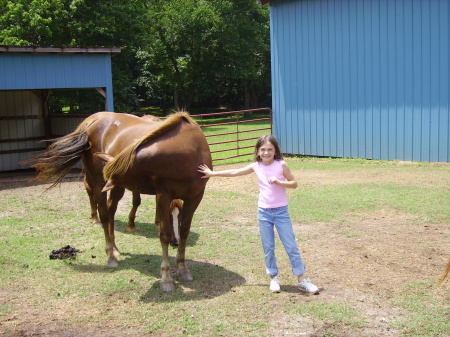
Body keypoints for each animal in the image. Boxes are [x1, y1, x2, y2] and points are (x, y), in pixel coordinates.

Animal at [31, 111, 211, 290]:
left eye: (178, 216)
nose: (175, 242)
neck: (186, 153)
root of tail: (92, 122)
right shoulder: (163, 196)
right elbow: (164, 234)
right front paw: (166, 278)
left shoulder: (194, 198)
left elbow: (184, 231)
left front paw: (183, 268)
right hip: (99, 183)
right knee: (104, 214)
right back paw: (111, 254)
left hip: (118, 189)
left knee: (111, 210)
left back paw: (115, 248)